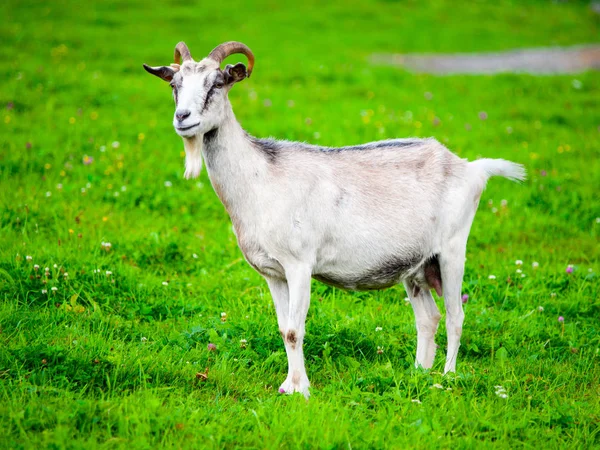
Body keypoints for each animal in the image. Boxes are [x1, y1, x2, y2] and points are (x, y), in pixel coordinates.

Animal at [142, 40, 524, 396]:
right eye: (175, 84)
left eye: (216, 84)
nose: (183, 117)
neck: (261, 178)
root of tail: (472, 168)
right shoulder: (272, 272)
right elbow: (282, 327)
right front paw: (288, 385)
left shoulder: (299, 265)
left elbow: (294, 330)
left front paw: (301, 390)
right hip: (416, 267)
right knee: (428, 318)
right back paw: (419, 372)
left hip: (452, 251)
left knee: (456, 316)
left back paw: (446, 377)